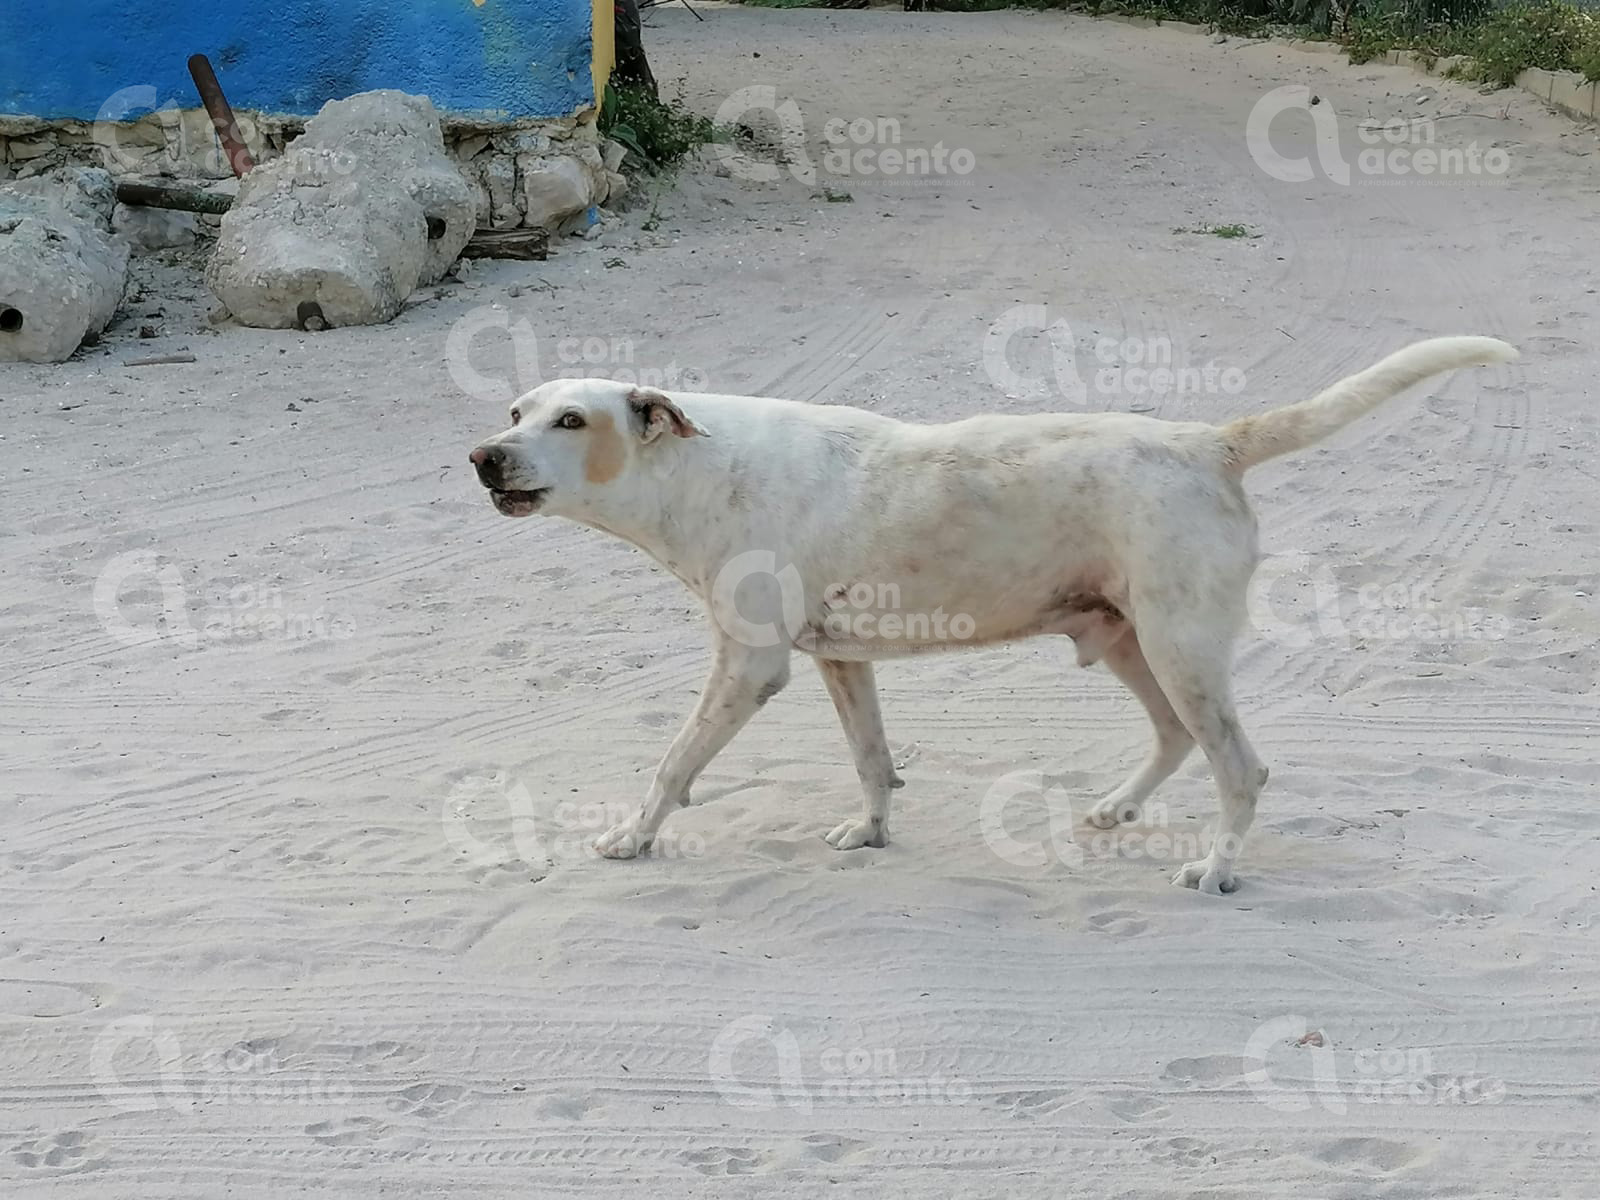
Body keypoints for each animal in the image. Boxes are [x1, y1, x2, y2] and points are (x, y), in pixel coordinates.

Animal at [470, 336, 1510, 896]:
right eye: (516, 410)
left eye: (571, 421)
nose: (482, 455)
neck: (696, 469)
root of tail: (1209, 440)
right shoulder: (842, 660)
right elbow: (873, 760)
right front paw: (872, 833)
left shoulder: (750, 665)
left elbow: (673, 764)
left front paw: (632, 838)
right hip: (1132, 642)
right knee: (1176, 738)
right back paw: (1116, 808)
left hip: (1181, 648)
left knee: (1240, 768)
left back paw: (1215, 871)